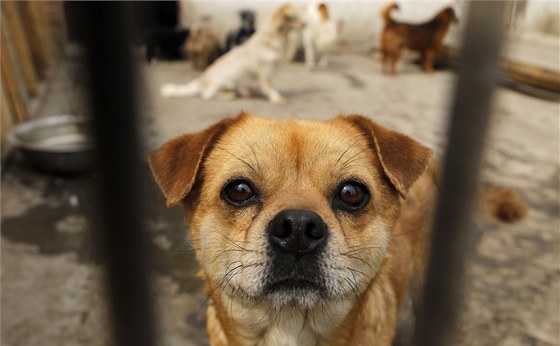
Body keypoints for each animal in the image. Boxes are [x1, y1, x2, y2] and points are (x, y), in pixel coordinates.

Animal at [160, 4, 304, 104]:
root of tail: (201, 80)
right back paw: (230, 95)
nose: (305, 24)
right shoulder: (266, 71)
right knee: (208, 95)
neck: (275, 39)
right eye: (295, 18)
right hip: (225, 82)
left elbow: (264, 85)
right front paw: (276, 98)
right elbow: (270, 86)